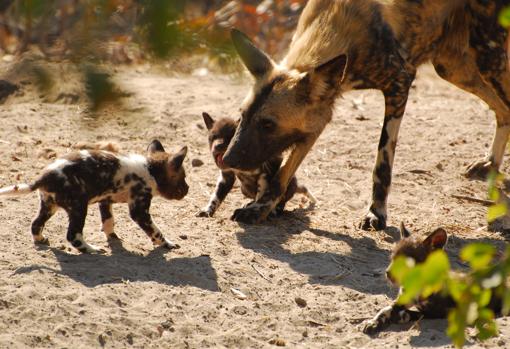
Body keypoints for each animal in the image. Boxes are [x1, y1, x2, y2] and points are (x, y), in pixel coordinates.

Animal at [0, 139, 189, 253]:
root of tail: (44, 176)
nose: (188, 189)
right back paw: (92, 249)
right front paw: (167, 244)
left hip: (49, 206)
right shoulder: (139, 210)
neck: (151, 170)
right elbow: (156, 231)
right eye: (183, 179)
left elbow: (108, 222)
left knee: (35, 224)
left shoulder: (105, 201)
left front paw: (113, 238)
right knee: (73, 236)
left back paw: (41, 240)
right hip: (78, 208)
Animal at [224, 0, 510, 228]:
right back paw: (490, 164)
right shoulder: (319, 118)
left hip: (489, 58)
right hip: (453, 68)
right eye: (242, 116)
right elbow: (282, 174)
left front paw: (377, 214)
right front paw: (261, 207)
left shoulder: (400, 84)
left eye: (268, 124)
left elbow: (382, 165)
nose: (228, 159)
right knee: (502, 111)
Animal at [362, 224, 502, 334]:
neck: (416, 286)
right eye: (392, 259)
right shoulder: (401, 300)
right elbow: (385, 309)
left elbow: (417, 314)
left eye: (408, 263)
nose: (388, 273)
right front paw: (373, 322)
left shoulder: (442, 312)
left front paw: (402, 316)